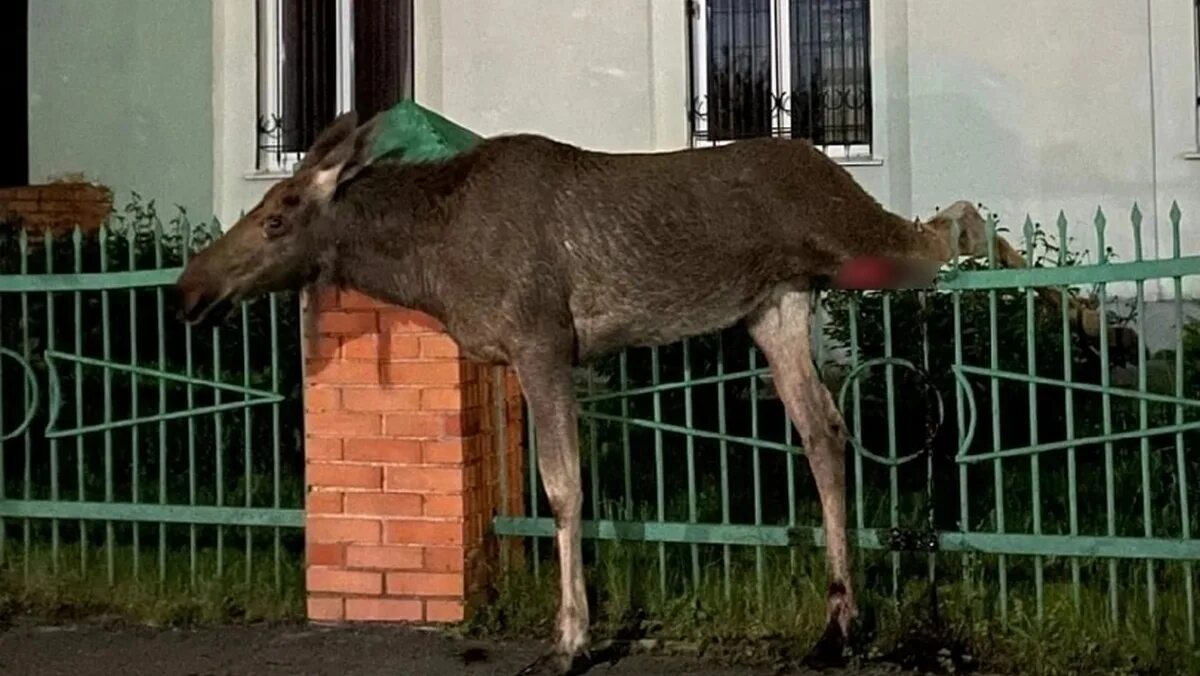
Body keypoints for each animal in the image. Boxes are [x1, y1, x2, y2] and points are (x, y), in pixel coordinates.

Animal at [174, 113, 1099, 672]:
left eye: (278, 217)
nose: (189, 289)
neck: (428, 263)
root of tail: (816, 162)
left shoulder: (544, 343)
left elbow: (564, 491)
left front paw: (571, 639)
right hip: (777, 303)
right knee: (826, 430)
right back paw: (839, 622)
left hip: (854, 240)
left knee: (962, 221)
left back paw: (1086, 312)